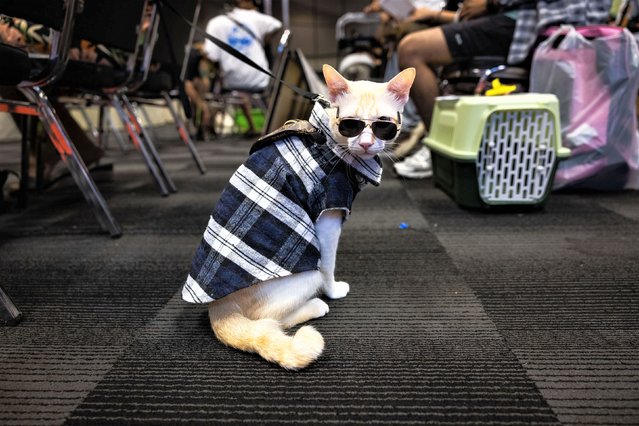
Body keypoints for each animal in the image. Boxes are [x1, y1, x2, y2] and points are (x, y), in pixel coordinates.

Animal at [182, 63, 418, 370]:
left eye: (383, 124)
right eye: (350, 124)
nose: (367, 143)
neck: (327, 143)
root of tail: (217, 308)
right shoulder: (327, 222)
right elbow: (329, 266)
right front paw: (334, 291)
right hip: (307, 275)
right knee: (270, 319)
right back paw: (316, 305)